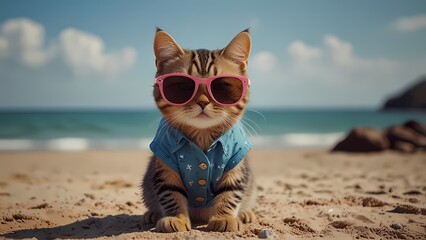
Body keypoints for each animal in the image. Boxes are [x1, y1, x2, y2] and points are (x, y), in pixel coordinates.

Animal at [142, 28, 256, 232]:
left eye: (222, 85)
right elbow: (170, 193)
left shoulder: (236, 166)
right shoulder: (165, 166)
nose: (203, 101)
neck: (202, 136)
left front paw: (224, 217)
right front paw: (176, 218)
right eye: (181, 85)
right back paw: (152, 214)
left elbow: (230, 193)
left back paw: (245, 214)